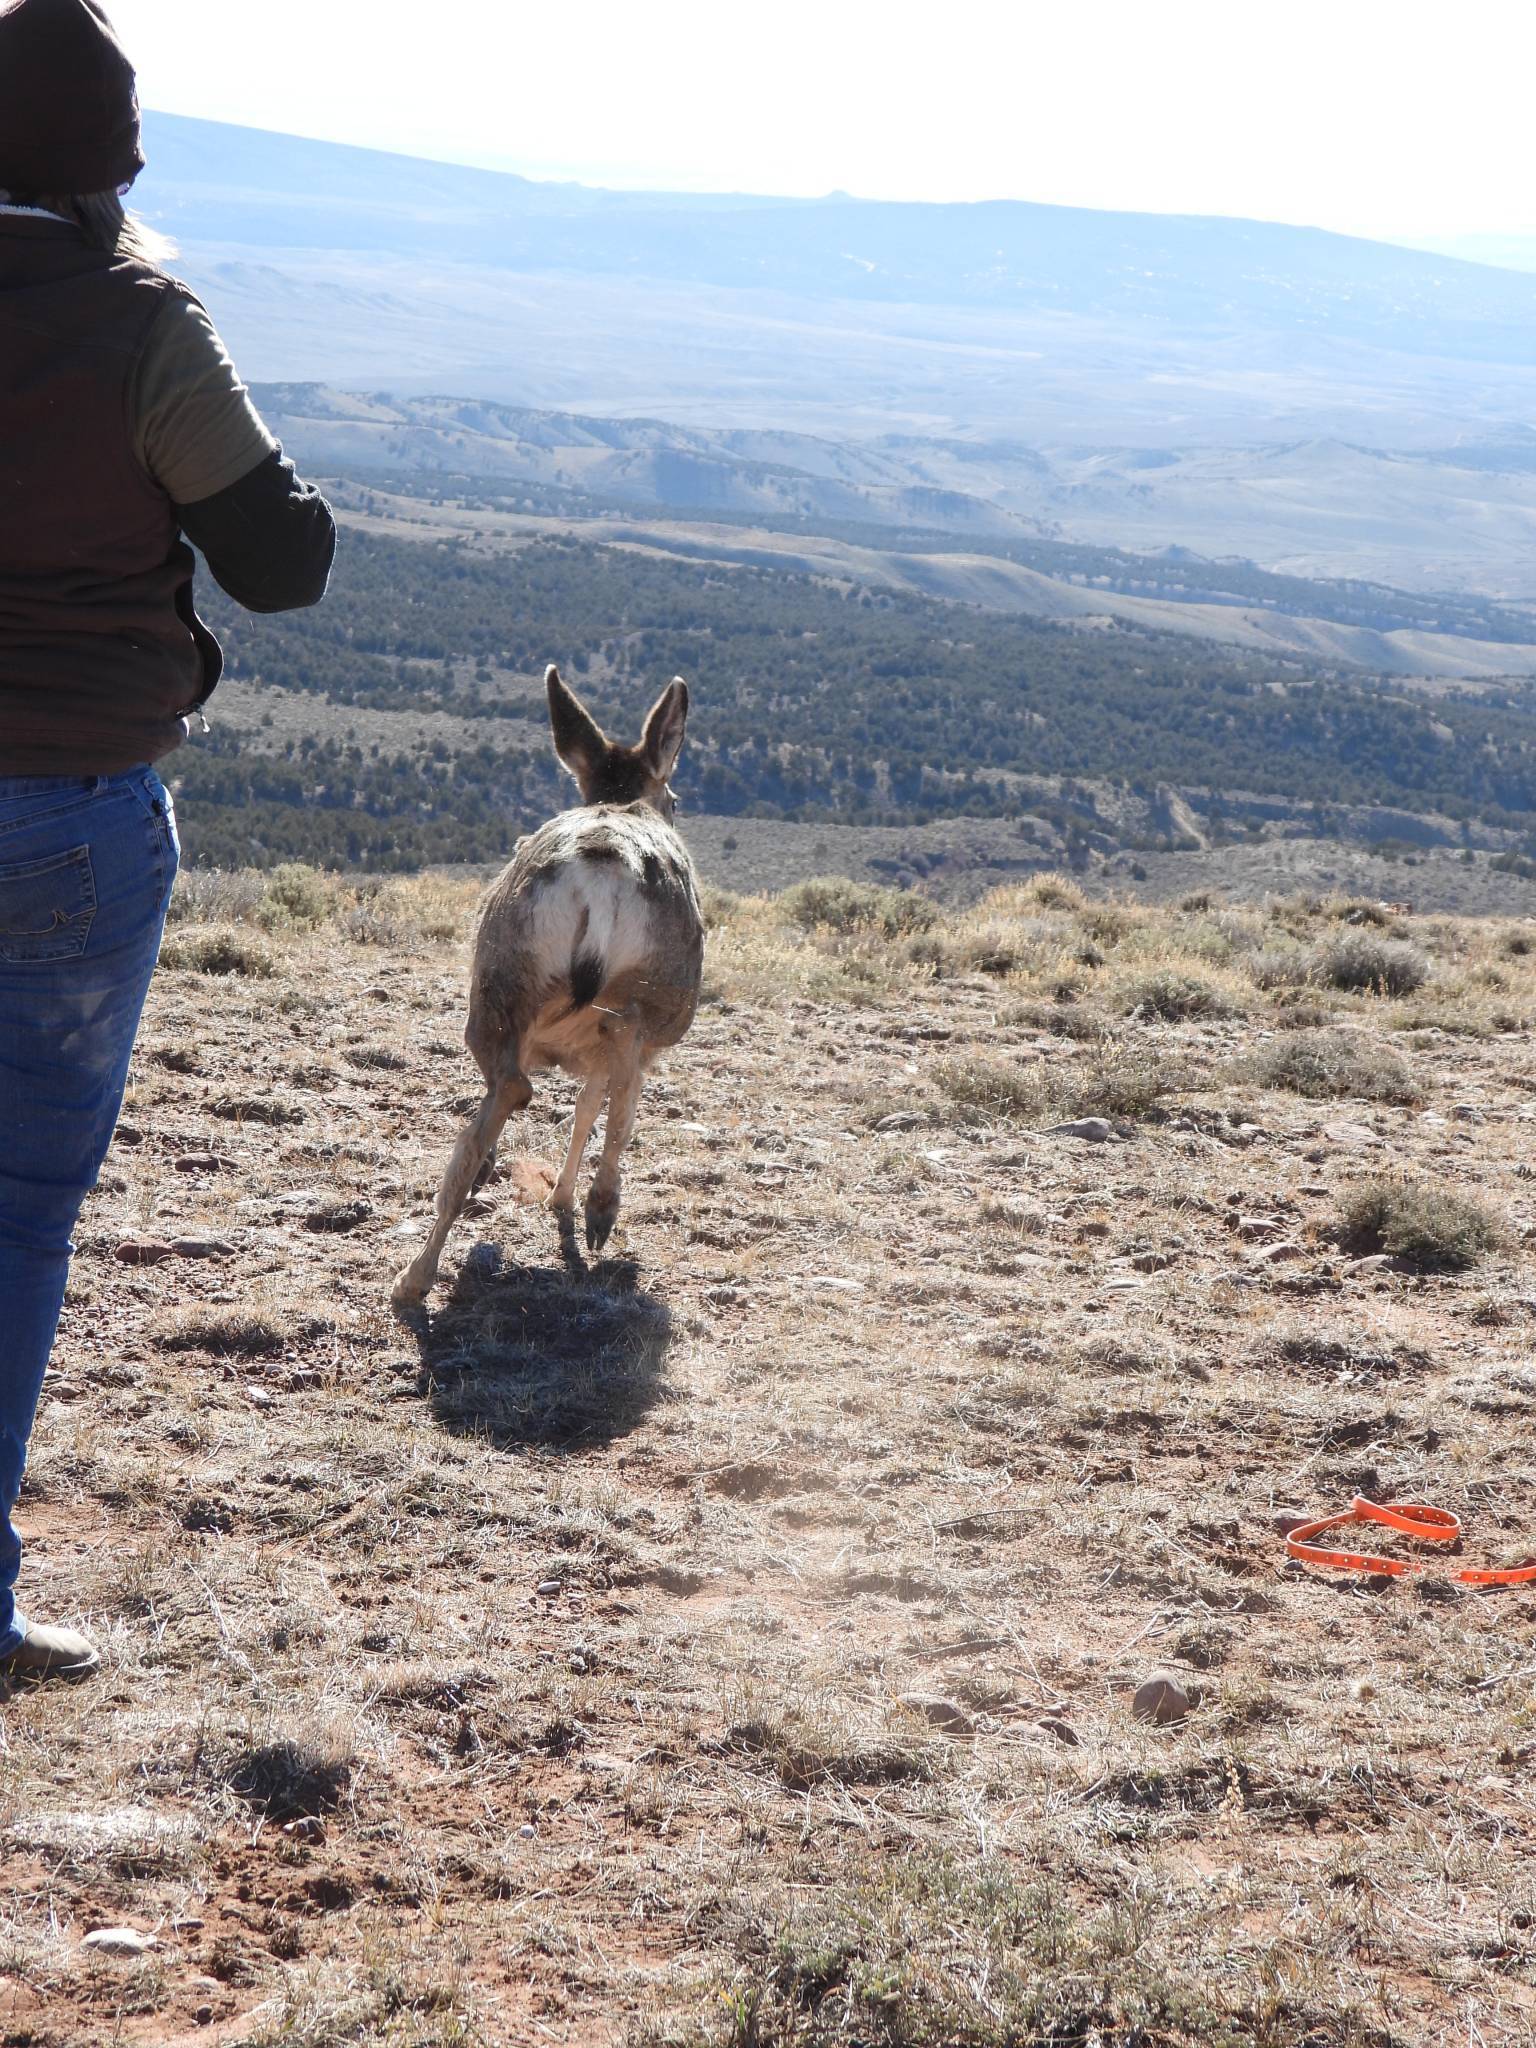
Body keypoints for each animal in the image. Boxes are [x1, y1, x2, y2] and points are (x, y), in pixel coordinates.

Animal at [397, 671, 708, 1310]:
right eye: (677, 798)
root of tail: (605, 865)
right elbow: (596, 1104)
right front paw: (565, 1199)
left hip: (501, 978)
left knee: (509, 1088)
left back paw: (416, 1276)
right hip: (644, 996)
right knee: (616, 1094)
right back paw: (598, 1209)